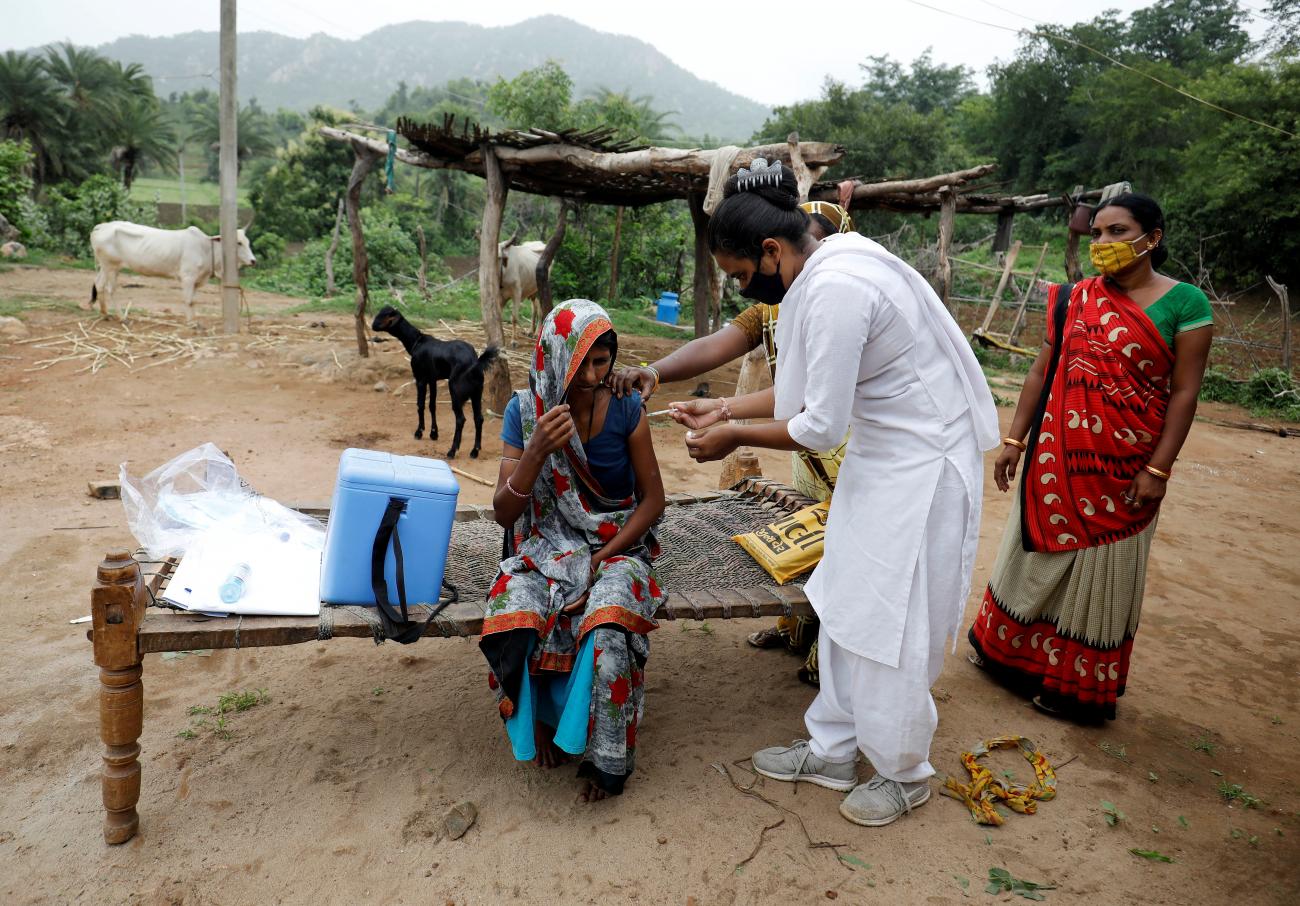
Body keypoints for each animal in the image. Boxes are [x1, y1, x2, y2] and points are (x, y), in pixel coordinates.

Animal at [88, 220, 256, 319]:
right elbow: (188, 300)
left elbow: (193, 301)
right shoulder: (188, 278)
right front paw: (193, 324)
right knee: (111, 289)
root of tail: (101, 226)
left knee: (98, 284)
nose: (253, 261)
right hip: (111, 267)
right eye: (238, 243)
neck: (206, 248)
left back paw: (103, 313)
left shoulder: (196, 281)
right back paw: (122, 317)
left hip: (106, 267)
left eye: (247, 241)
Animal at [377, 305, 501, 460]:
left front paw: (419, 432)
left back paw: (452, 451)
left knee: (460, 419)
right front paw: (434, 433)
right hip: (477, 392)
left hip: (455, 390)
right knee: (478, 418)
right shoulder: (432, 380)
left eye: (385, 316)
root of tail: (474, 361)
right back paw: (475, 451)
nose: (373, 326)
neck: (417, 341)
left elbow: (420, 405)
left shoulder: (420, 379)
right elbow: (432, 405)